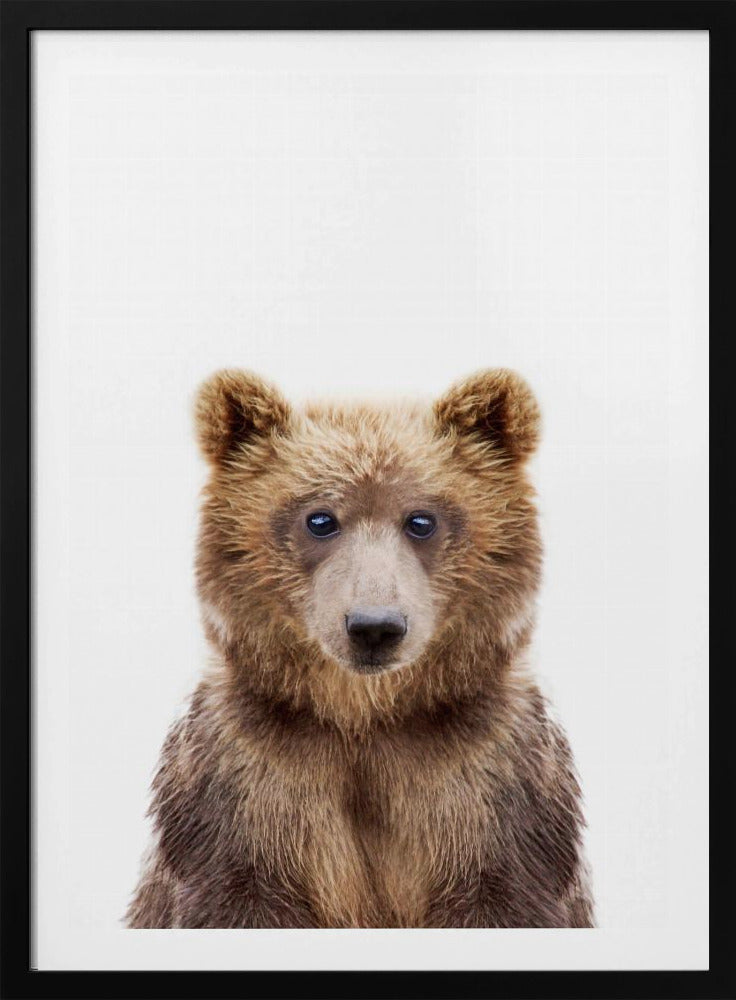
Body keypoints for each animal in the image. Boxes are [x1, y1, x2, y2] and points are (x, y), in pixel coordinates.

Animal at [126, 368, 594, 929]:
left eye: (421, 519)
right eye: (320, 518)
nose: (374, 627)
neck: (365, 717)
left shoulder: (492, 786)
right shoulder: (244, 787)